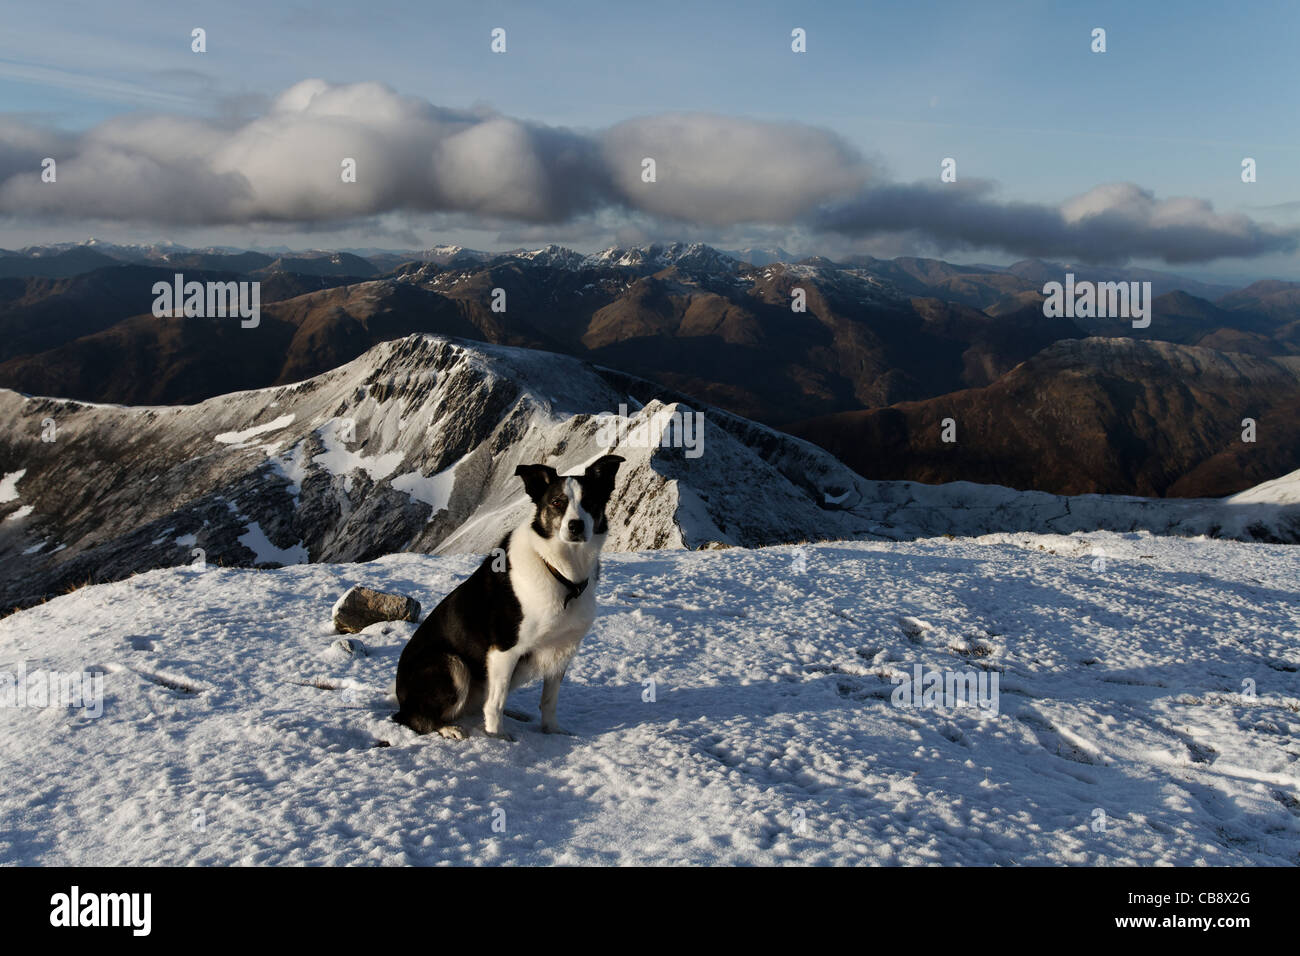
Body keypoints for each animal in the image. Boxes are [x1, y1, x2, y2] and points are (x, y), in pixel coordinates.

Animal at [390, 455, 624, 738]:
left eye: (590, 502)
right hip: (452, 663)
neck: (559, 570)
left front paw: (552, 731)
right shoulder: (503, 650)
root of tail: (401, 696)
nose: (575, 526)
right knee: (414, 717)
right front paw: (497, 738)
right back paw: (448, 728)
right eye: (557, 502)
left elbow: (549, 700)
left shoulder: (562, 649)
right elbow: (496, 702)